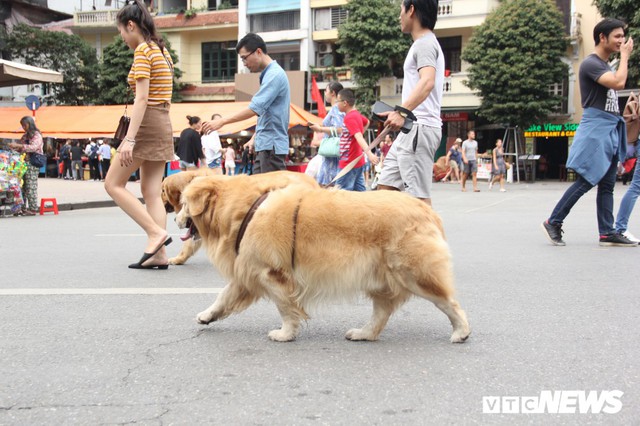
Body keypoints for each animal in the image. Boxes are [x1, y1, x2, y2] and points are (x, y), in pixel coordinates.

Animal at [176, 177, 470, 342]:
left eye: (183, 205)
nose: (176, 219)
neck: (246, 209)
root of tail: (427, 211)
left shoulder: (272, 274)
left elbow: (286, 308)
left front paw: (285, 334)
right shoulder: (248, 270)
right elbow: (223, 296)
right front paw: (207, 316)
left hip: (413, 274)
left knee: (449, 303)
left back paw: (461, 331)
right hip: (382, 280)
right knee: (381, 313)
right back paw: (363, 333)